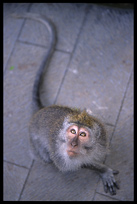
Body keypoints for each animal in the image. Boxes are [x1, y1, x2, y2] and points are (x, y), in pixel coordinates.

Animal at [12, 12, 119, 196]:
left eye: (82, 134)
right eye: (73, 132)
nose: (73, 144)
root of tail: (41, 110)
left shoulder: (102, 140)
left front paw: (102, 169)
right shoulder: (62, 155)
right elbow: (76, 164)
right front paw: (103, 170)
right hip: (36, 145)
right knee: (47, 158)